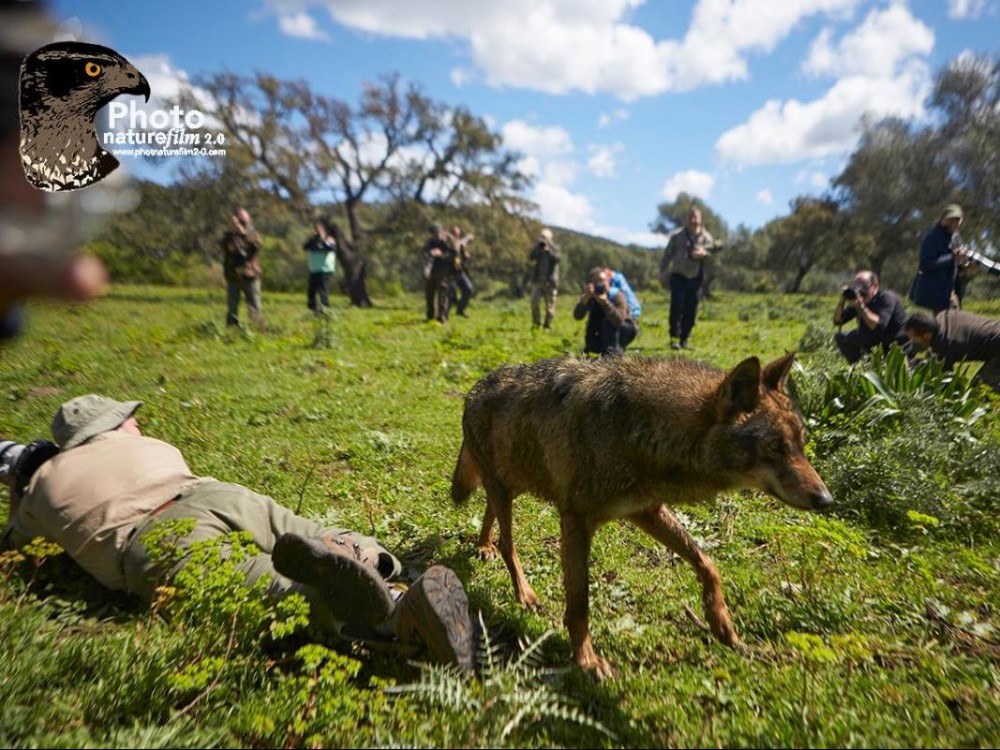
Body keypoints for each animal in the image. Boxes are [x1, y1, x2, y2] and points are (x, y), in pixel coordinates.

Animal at [451, 352, 832, 679]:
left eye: (801, 443)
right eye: (775, 447)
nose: (826, 499)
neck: (640, 430)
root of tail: (476, 386)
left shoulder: (646, 510)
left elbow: (708, 563)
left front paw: (722, 625)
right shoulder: (575, 521)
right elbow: (580, 604)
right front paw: (587, 661)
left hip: (512, 484)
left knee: (490, 514)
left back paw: (483, 546)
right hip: (506, 488)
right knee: (508, 542)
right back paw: (523, 591)